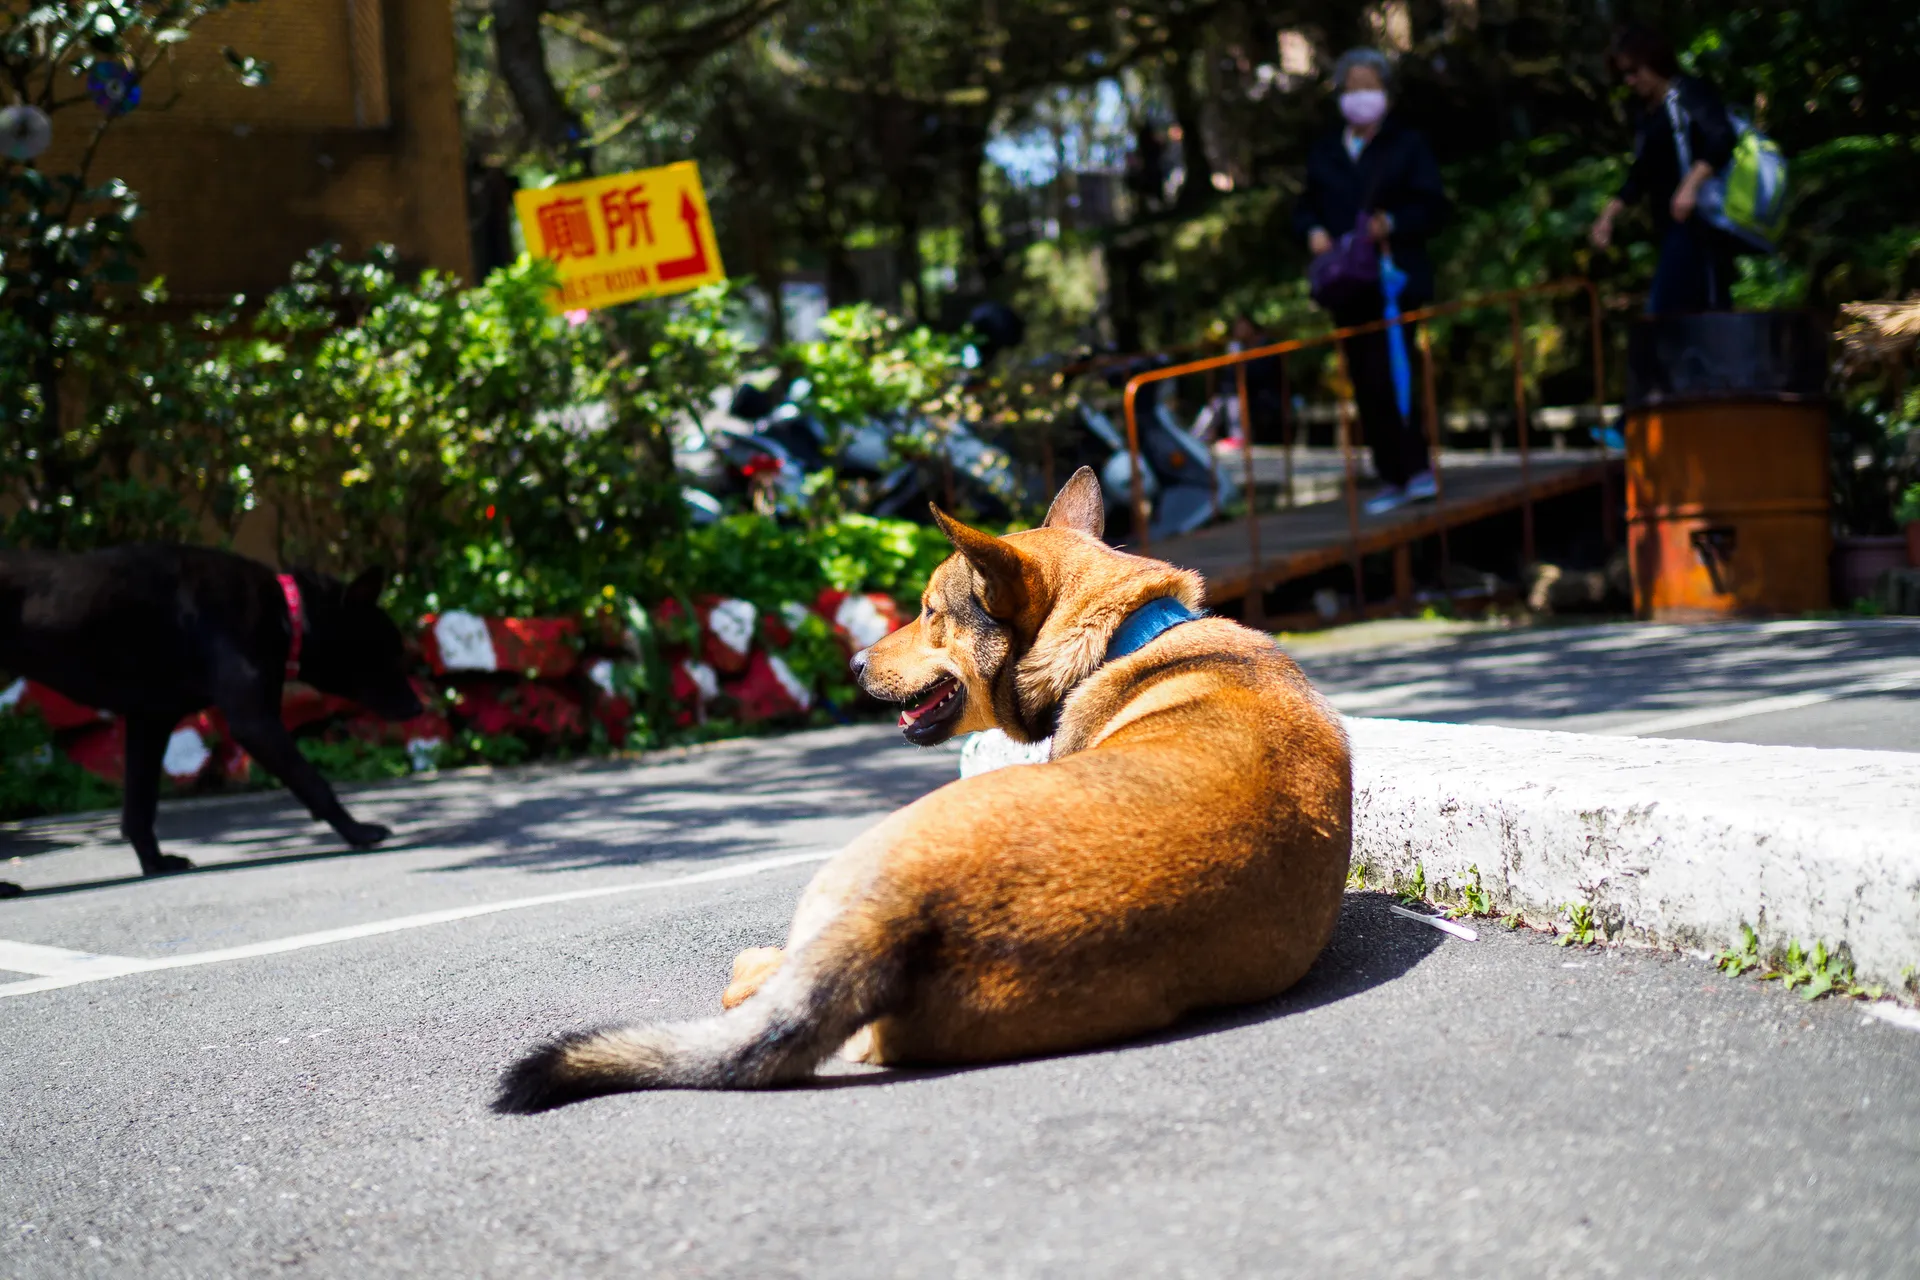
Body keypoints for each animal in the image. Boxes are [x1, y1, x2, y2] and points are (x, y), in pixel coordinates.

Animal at [0, 545, 422, 898]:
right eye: (388, 650)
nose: (419, 708)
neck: (286, 613)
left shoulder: (149, 721)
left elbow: (140, 805)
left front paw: (155, 863)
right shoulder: (254, 721)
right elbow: (313, 781)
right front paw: (358, 832)